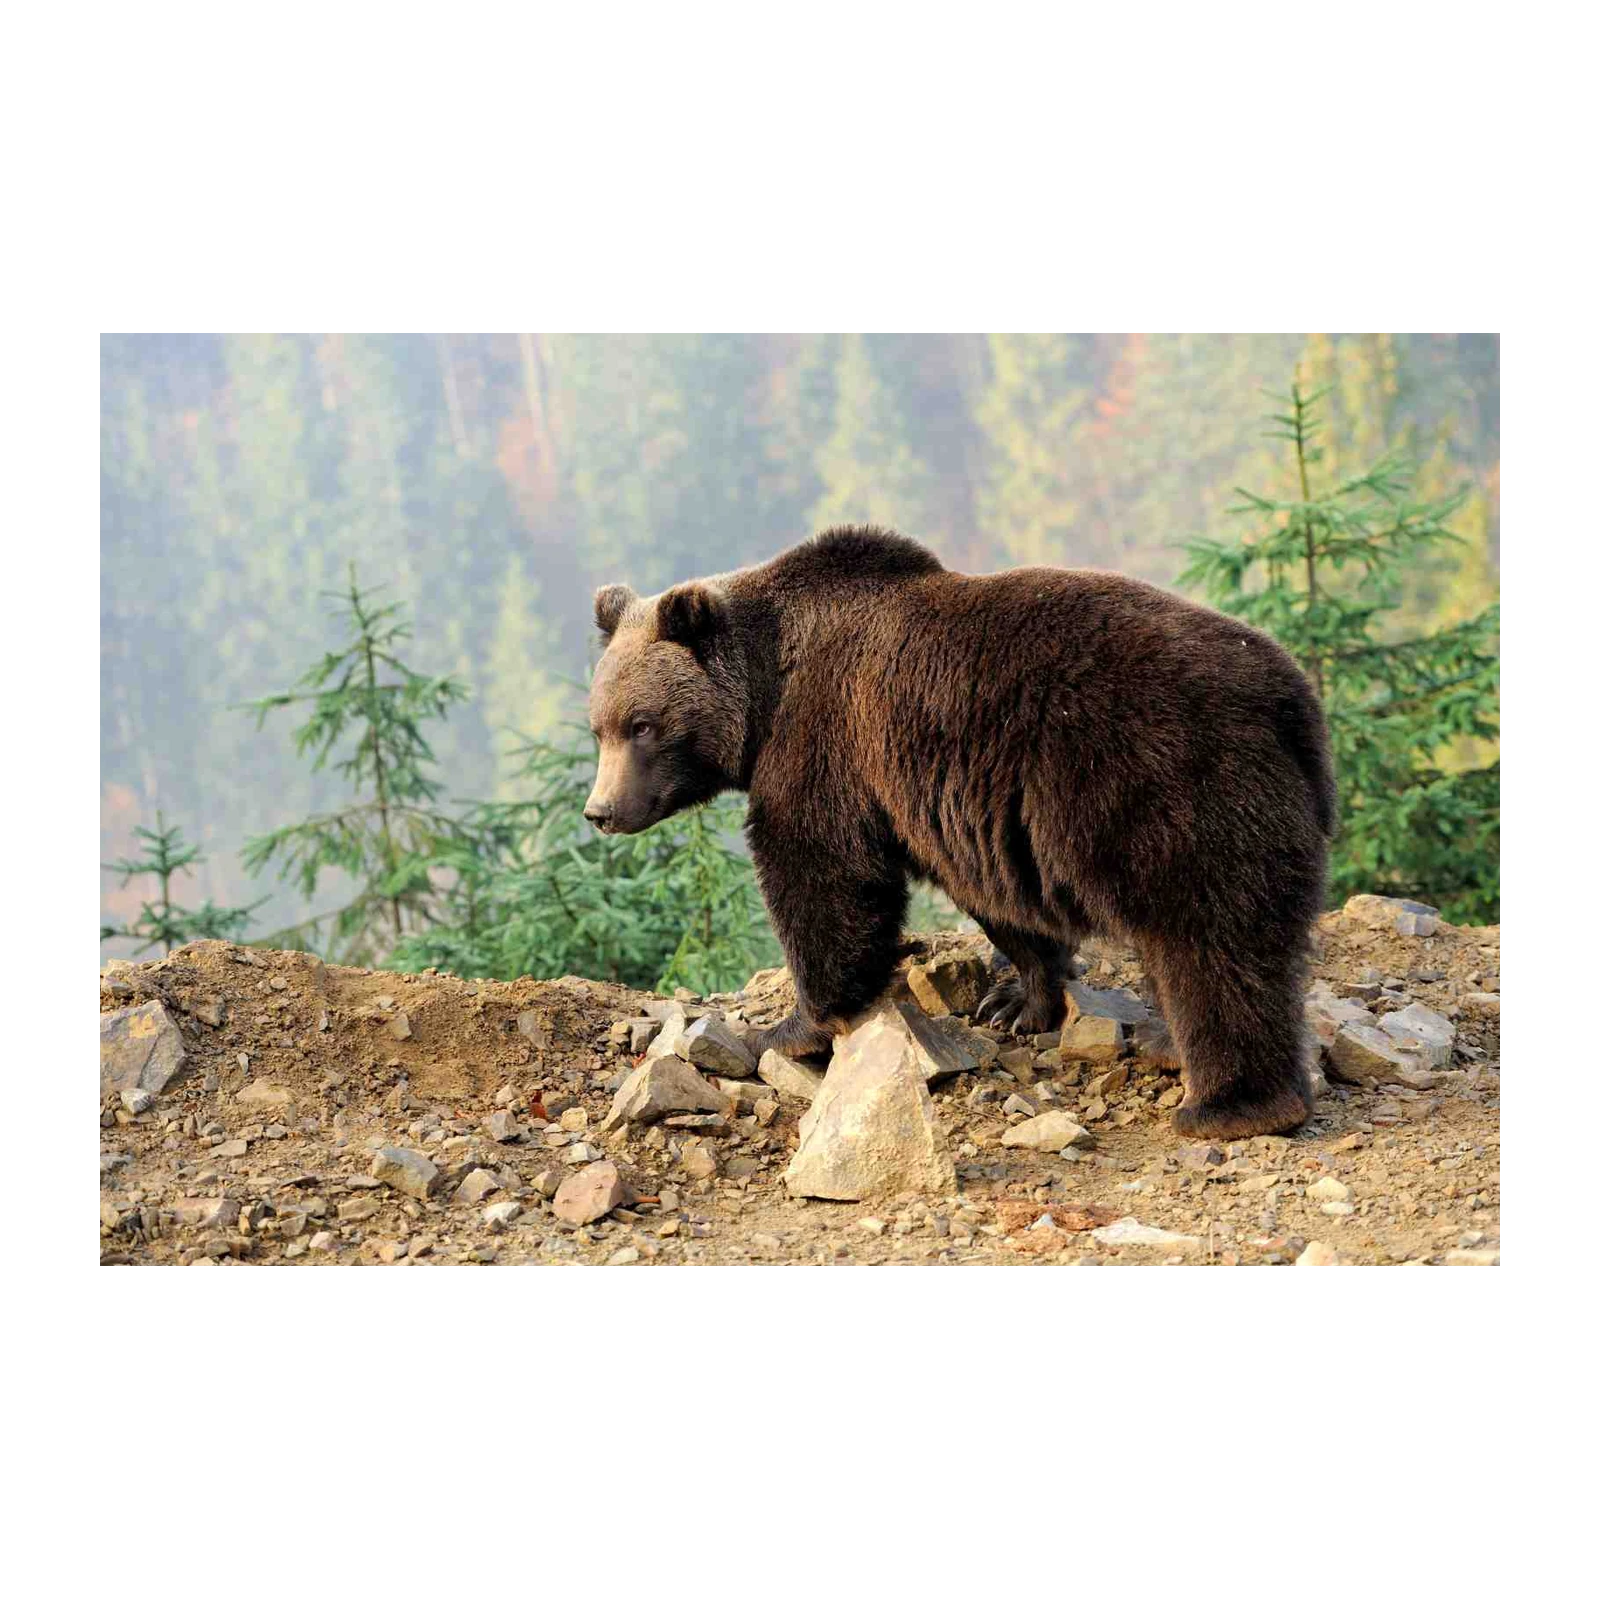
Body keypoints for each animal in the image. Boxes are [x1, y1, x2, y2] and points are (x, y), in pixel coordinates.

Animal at [585, 525, 1336, 1140]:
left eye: (643, 725)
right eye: (600, 727)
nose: (601, 811)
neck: (768, 689)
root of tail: (1291, 696)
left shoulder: (828, 740)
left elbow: (822, 873)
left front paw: (790, 1028)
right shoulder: (957, 805)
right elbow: (994, 898)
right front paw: (1015, 1001)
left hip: (1166, 785)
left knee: (1210, 941)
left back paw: (1229, 1104)